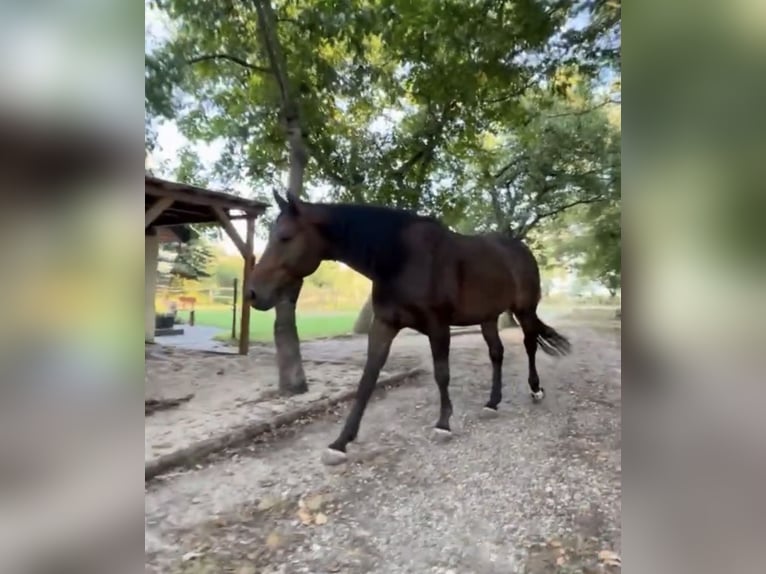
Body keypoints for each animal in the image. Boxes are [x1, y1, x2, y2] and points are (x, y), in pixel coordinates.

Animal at [248, 191, 571, 465]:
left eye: (285, 237)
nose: (252, 293)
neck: (400, 258)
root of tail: (520, 249)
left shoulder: (438, 326)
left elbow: (442, 374)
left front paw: (443, 424)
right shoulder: (384, 324)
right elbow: (368, 378)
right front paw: (340, 442)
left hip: (524, 310)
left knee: (529, 344)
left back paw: (535, 389)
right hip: (489, 317)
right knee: (497, 353)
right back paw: (492, 403)